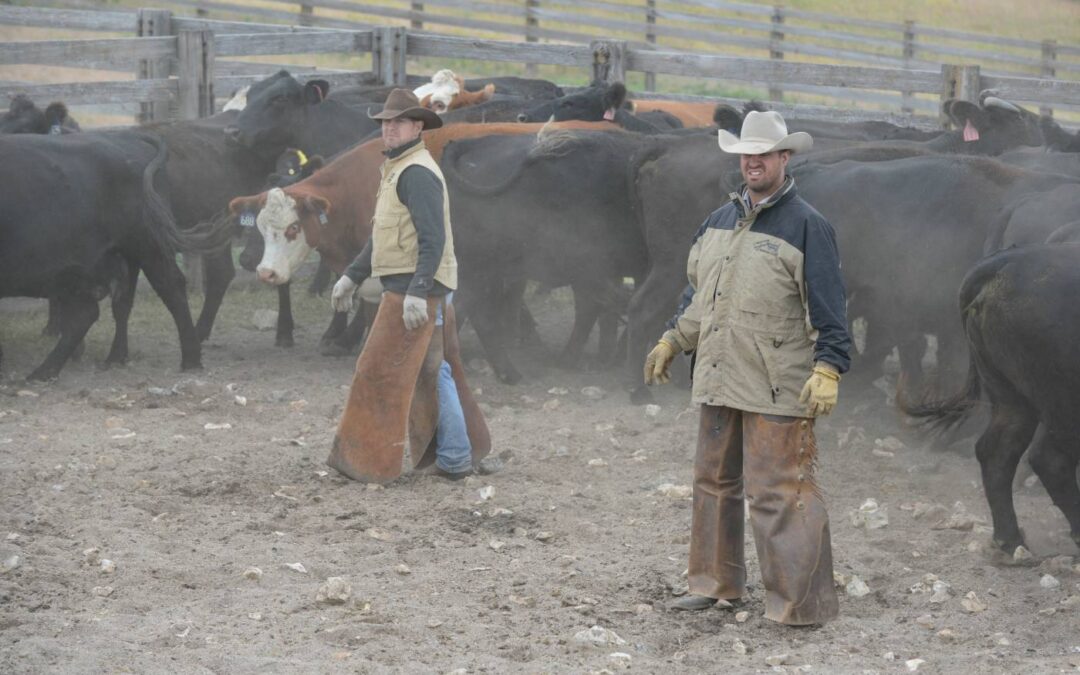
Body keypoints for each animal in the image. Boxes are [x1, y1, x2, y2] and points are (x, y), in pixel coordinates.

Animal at [0, 131, 227, 380]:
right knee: (106, 307)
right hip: (100, 264)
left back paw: (191, 358)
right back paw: (103, 358)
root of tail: (127, 137)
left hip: (146, 246)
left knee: (170, 287)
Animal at [902, 245, 1080, 557]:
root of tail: (1009, 261)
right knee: (1051, 460)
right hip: (1063, 405)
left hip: (1011, 397)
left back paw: (1010, 543)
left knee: (998, 452)